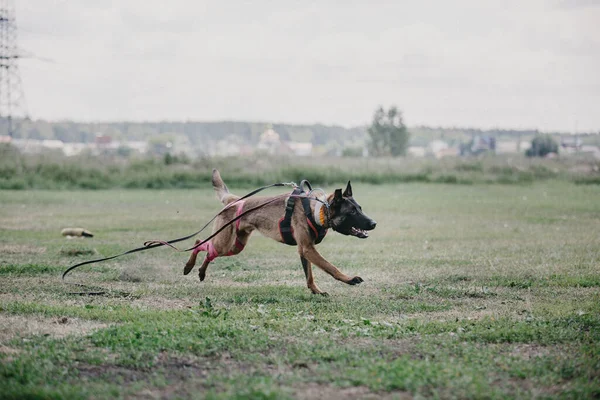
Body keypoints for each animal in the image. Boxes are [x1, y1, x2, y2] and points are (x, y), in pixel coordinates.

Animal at [185, 167, 378, 296]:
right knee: (200, 243)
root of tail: (234, 200)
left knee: (208, 251)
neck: (318, 210)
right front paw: (349, 279)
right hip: (225, 243)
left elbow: (309, 276)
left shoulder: (304, 250)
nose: (374, 223)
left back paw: (200, 272)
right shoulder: (308, 249)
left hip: (234, 246)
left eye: (360, 208)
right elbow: (331, 267)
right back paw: (189, 267)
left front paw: (316, 291)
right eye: (352, 212)